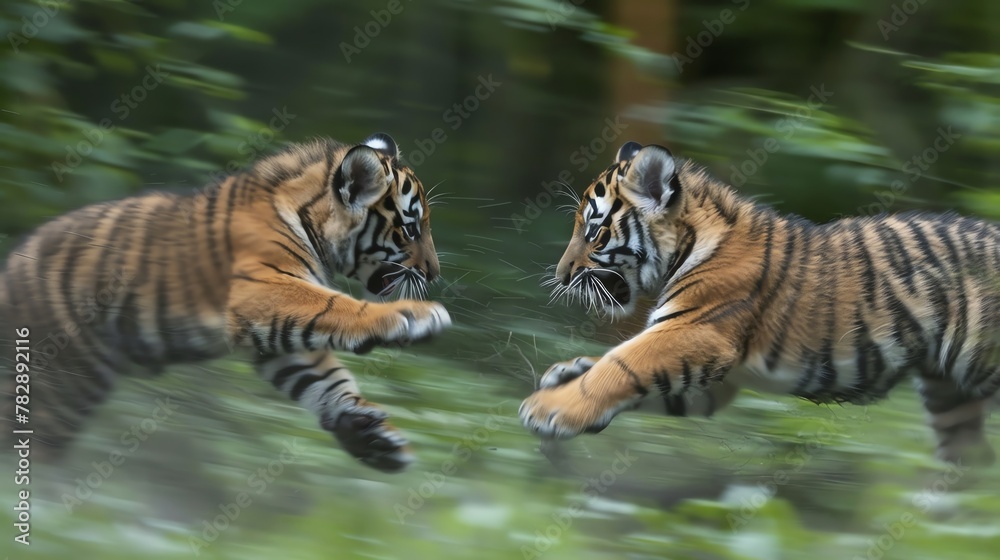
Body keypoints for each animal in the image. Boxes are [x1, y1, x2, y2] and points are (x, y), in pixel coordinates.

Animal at [0, 133, 451, 472]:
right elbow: (338, 308)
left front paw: (371, 436)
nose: (434, 273)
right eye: (411, 230)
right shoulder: (263, 290)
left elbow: (326, 379)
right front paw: (416, 317)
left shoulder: (276, 339)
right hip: (61, 383)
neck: (314, 224)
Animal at [520, 140, 1000, 466]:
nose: (559, 276)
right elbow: (629, 377)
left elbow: (622, 364)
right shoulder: (716, 377)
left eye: (594, 232)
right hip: (949, 395)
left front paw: (549, 408)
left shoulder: (695, 332)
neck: (689, 243)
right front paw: (565, 374)